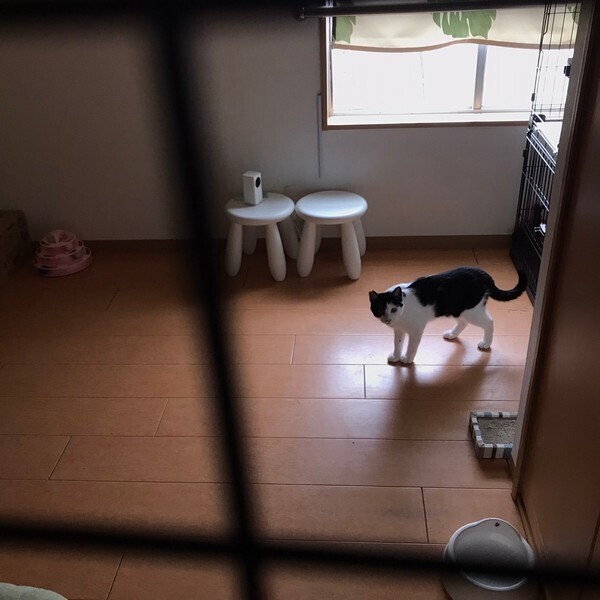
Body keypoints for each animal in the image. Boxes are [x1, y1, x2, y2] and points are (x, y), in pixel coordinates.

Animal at [369, 266, 527, 364]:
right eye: (380, 310)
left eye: (393, 309)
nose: (388, 319)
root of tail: (481, 273)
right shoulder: (399, 329)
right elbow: (398, 343)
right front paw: (396, 356)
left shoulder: (416, 329)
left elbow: (412, 345)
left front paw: (407, 358)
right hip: (457, 308)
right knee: (463, 322)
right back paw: (452, 334)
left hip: (472, 310)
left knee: (489, 321)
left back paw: (486, 343)